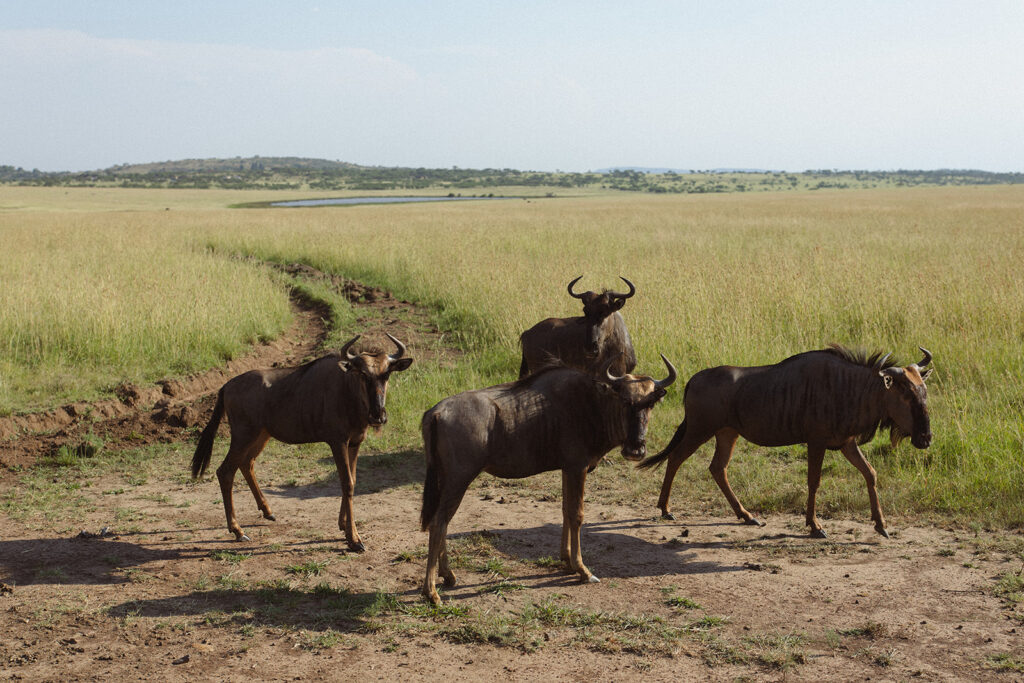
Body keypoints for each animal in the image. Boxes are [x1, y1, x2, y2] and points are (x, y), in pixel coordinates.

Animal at [191, 334, 413, 550]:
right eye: (363, 375)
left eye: (386, 374)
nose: (378, 416)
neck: (348, 391)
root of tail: (226, 386)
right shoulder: (337, 442)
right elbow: (346, 483)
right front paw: (354, 539)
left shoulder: (355, 443)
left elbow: (353, 480)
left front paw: (343, 525)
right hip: (243, 436)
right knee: (225, 471)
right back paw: (238, 530)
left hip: (260, 435)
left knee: (246, 464)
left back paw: (267, 511)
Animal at [638, 345, 933, 538]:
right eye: (906, 393)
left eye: (924, 391)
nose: (926, 438)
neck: (849, 388)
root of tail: (693, 380)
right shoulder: (816, 442)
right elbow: (814, 481)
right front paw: (815, 526)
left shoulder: (846, 443)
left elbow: (870, 473)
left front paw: (881, 525)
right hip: (700, 430)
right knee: (676, 458)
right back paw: (665, 509)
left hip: (727, 433)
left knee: (717, 468)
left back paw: (747, 516)